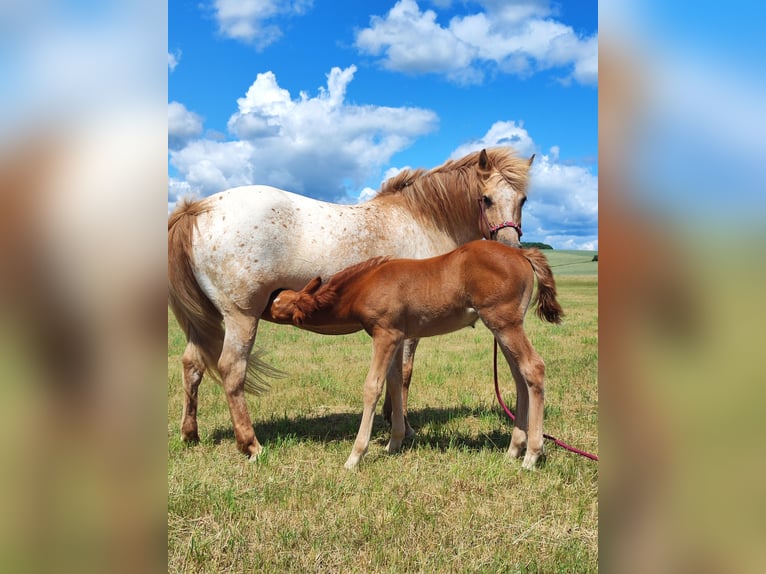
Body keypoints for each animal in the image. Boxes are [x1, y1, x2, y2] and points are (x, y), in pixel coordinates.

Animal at [168, 148, 534, 458]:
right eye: (486, 198)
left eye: (523, 199)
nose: (510, 250)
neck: (420, 220)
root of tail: (198, 208)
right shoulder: (412, 328)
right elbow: (404, 374)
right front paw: (403, 427)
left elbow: (393, 375)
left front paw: (392, 421)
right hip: (241, 317)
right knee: (232, 370)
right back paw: (251, 444)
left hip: (207, 321)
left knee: (192, 365)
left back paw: (190, 434)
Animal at [264, 240, 563, 469]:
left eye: (278, 302)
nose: (265, 298)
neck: (366, 285)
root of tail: (521, 254)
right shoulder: (397, 336)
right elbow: (395, 383)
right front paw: (394, 443)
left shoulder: (385, 334)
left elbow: (373, 386)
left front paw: (355, 457)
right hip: (502, 328)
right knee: (519, 377)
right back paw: (513, 449)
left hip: (504, 324)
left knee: (533, 368)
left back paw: (531, 455)